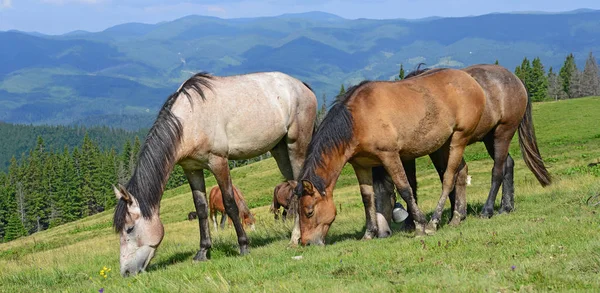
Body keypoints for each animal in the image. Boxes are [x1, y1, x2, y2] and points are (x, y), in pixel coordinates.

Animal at [113, 71, 318, 276]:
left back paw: (296, 239)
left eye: (129, 228)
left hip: (296, 145)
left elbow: (230, 204)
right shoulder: (192, 169)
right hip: (281, 151)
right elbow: (201, 209)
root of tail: (302, 86)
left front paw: (243, 246)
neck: (190, 119)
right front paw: (203, 251)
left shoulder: (219, 162)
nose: (126, 272)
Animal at [296, 68, 488, 244]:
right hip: (446, 144)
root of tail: (470, 81)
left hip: (459, 138)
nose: (306, 242)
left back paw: (434, 222)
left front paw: (420, 225)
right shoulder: (361, 165)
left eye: (309, 211)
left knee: (448, 178)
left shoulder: (390, 156)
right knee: (461, 172)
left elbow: (404, 189)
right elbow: (367, 198)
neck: (358, 119)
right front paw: (369, 233)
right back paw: (457, 217)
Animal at [378, 63, 552, 230]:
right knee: (508, 164)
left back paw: (487, 210)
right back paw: (506, 207)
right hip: (490, 138)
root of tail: (516, 79)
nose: (379, 231)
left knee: (497, 171)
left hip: (503, 133)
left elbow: (441, 177)